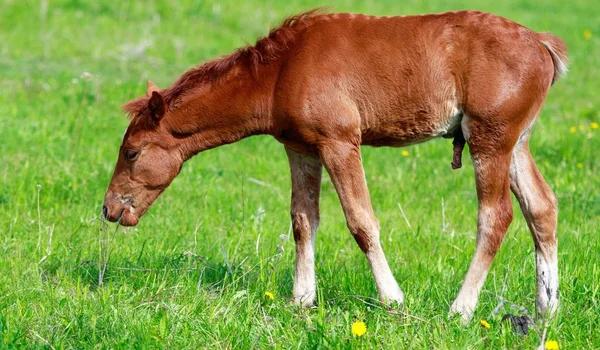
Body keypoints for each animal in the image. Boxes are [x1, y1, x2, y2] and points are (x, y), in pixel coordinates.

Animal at [102, 9, 568, 322]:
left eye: (132, 152)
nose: (109, 209)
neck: (283, 69)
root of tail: (542, 43)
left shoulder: (340, 142)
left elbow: (361, 221)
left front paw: (392, 299)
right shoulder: (301, 148)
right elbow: (303, 219)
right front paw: (301, 299)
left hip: (489, 140)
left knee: (496, 216)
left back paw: (461, 308)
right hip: (515, 143)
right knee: (541, 208)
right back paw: (545, 309)